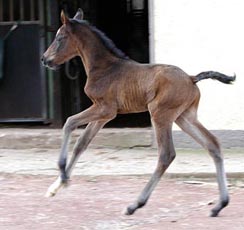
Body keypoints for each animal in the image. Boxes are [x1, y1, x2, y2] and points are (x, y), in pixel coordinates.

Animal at [41, 9, 234, 217]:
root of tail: (191, 78)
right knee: (213, 144)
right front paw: (57, 185)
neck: (105, 67)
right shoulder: (103, 115)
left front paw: (62, 173)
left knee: (166, 154)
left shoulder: (105, 109)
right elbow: (81, 143)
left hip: (160, 114)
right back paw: (219, 205)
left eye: (60, 38)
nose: (44, 59)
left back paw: (135, 204)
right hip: (184, 117)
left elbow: (69, 122)